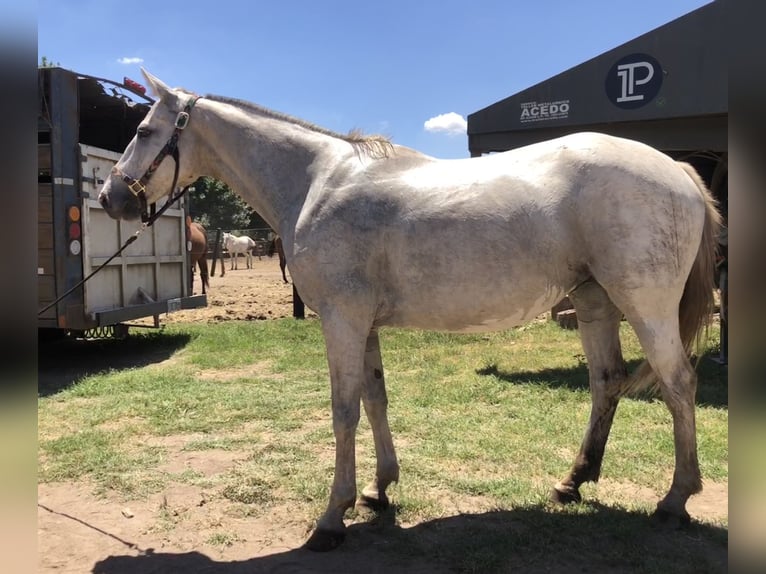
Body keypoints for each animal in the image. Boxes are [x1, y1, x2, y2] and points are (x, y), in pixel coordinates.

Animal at [97, 70, 728, 556]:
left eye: (143, 130)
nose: (111, 198)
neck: (317, 183)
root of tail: (678, 170)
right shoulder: (364, 326)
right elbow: (375, 399)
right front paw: (379, 490)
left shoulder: (342, 321)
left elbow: (344, 410)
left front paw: (333, 517)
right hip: (596, 304)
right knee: (606, 381)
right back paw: (573, 481)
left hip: (644, 305)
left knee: (678, 383)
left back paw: (675, 500)